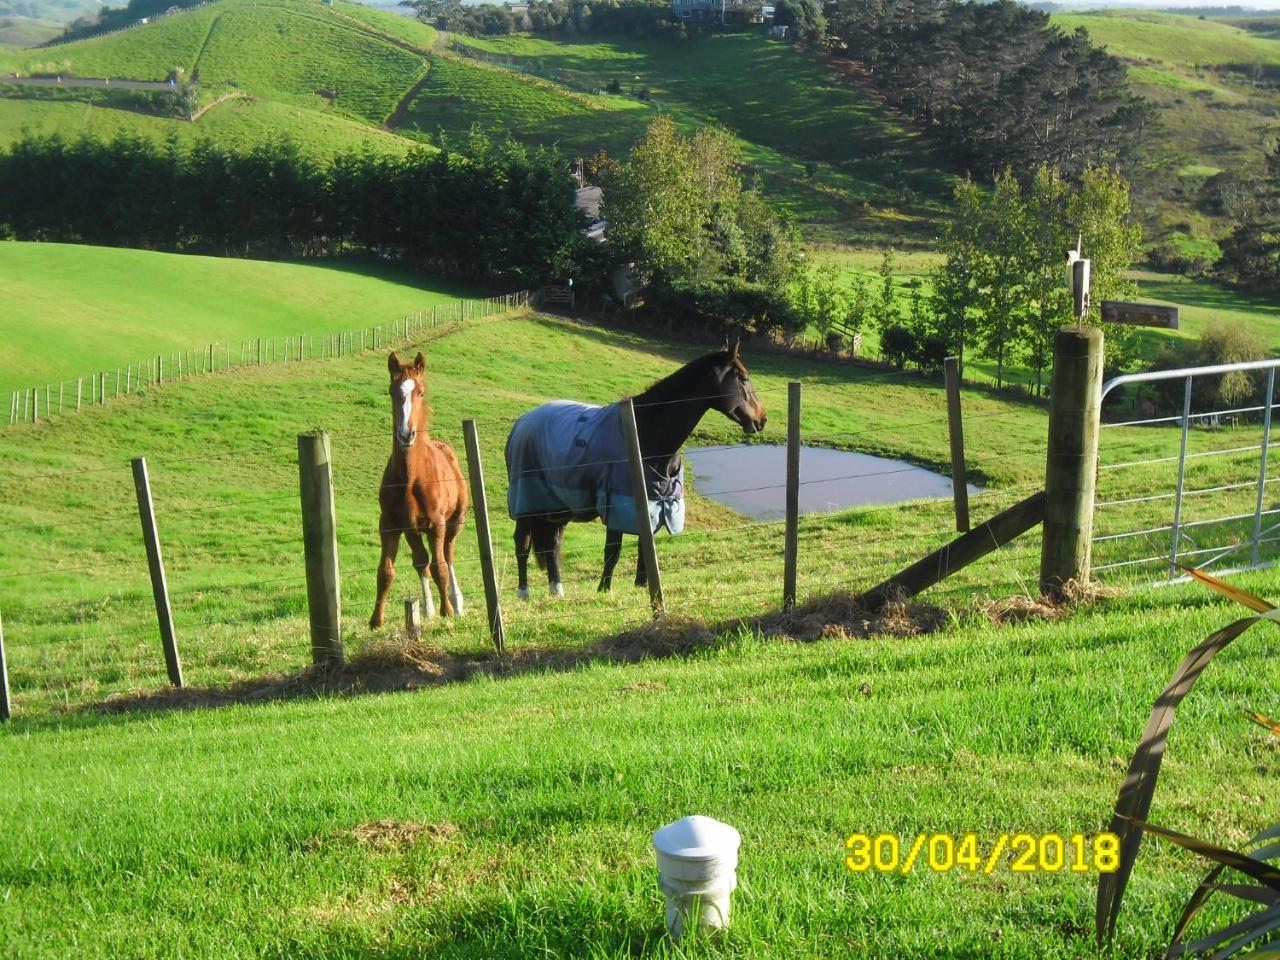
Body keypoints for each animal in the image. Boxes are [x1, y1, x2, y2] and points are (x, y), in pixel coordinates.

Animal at [371, 353, 471, 632]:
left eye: (421, 392)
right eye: (392, 392)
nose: (406, 434)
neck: (410, 478)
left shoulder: (436, 524)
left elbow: (440, 567)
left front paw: (448, 611)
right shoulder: (391, 525)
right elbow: (386, 571)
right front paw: (376, 620)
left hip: (454, 523)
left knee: (447, 556)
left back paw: (456, 603)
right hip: (413, 531)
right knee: (421, 561)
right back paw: (426, 610)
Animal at [501, 345, 762, 599]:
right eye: (743, 378)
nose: (762, 418)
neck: (644, 432)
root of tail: (521, 423)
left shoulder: (654, 502)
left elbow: (645, 546)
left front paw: (642, 586)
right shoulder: (616, 503)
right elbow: (612, 551)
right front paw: (604, 590)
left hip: (558, 506)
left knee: (552, 545)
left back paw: (557, 590)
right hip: (528, 502)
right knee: (522, 544)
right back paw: (524, 592)